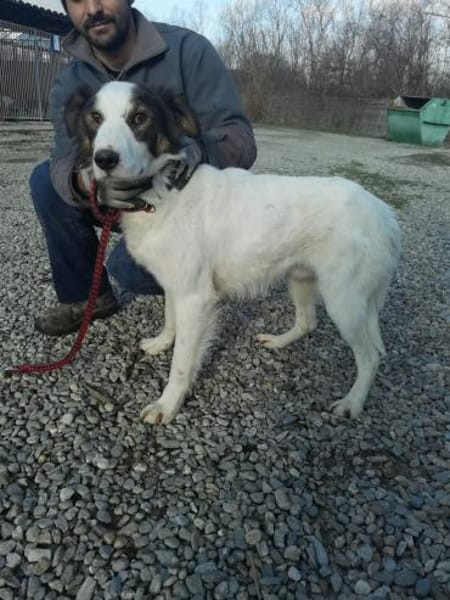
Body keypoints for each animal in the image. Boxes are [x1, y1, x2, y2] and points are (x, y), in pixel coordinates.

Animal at [65, 81, 401, 425]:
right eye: (95, 117)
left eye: (140, 118)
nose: (104, 159)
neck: (162, 192)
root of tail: (383, 212)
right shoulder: (176, 286)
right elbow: (170, 321)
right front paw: (161, 343)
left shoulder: (196, 299)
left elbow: (181, 364)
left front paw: (168, 404)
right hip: (301, 278)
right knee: (308, 322)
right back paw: (278, 342)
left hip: (343, 300)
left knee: (370, 356)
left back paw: (353, 402)